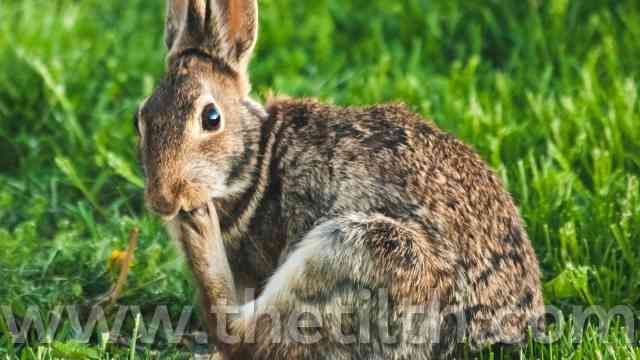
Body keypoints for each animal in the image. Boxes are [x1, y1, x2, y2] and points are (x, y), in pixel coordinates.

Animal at [135, 0, 544, 358]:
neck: (256, 161)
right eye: (141, 117)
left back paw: (199, 230)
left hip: (364, 252)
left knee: (245, 335)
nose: (164, 200)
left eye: (211, 118)